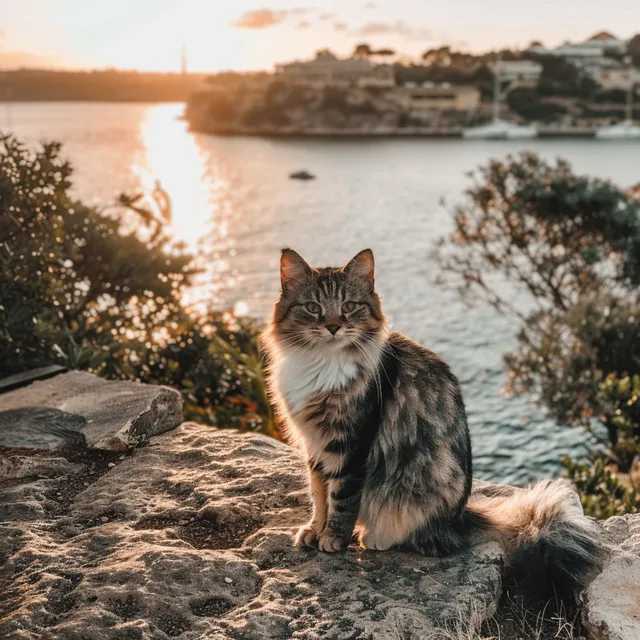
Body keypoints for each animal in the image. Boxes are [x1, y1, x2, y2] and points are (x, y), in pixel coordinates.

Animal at [262, 246, 604, 596]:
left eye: (349, 307)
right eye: (313, 308)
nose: (333, 327)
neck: (321, 363)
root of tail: (460, 519)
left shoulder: (351, 444)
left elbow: (341, 499)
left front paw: (333, 538)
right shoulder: (314, 444)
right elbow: (318, 495)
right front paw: (314, 530)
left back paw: (373, 537)